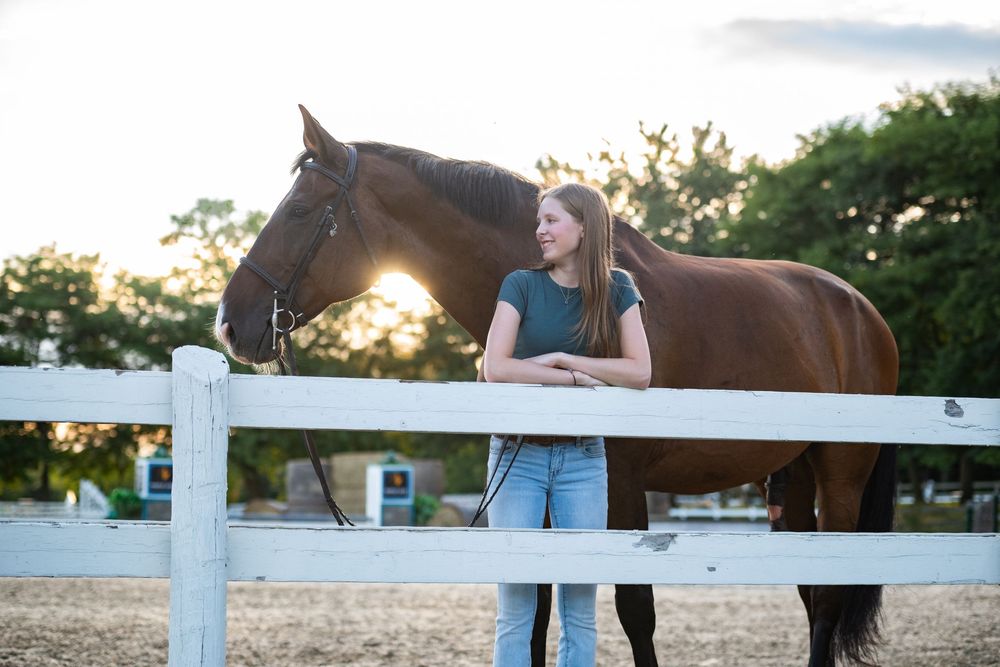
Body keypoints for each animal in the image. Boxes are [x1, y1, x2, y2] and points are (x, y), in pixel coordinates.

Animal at [216, 106, 899, 667]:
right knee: (811, 591)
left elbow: (635, 610)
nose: (230, 322)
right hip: (791, 476)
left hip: (841, 474)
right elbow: (539, 608)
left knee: (829, 596)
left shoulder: (621, 484)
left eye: (299, 212)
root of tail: (864, 312)